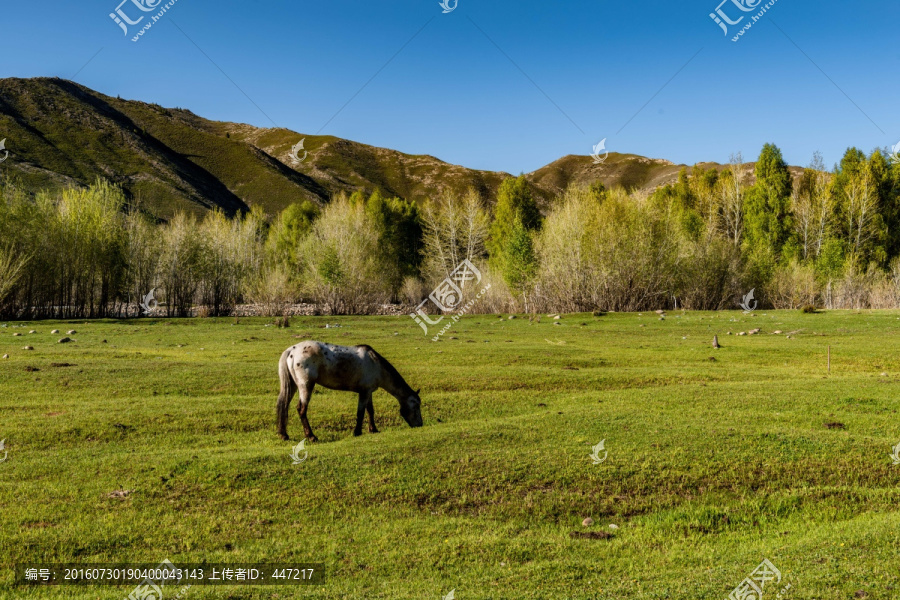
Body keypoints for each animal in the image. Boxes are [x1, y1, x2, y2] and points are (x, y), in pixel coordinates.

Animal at [274, 342, 426, 440]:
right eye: (416, 406)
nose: (420, 425)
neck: (375, 364)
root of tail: (292, 351)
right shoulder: (364, 393)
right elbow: (361, 412)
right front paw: (357, 432)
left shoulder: (368, 392)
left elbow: (370, 411)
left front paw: (373, 429)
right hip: (306, 386)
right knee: (301, 409)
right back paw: (311, 436)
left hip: (293, 386)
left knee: (285, 406)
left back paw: (284, 434)